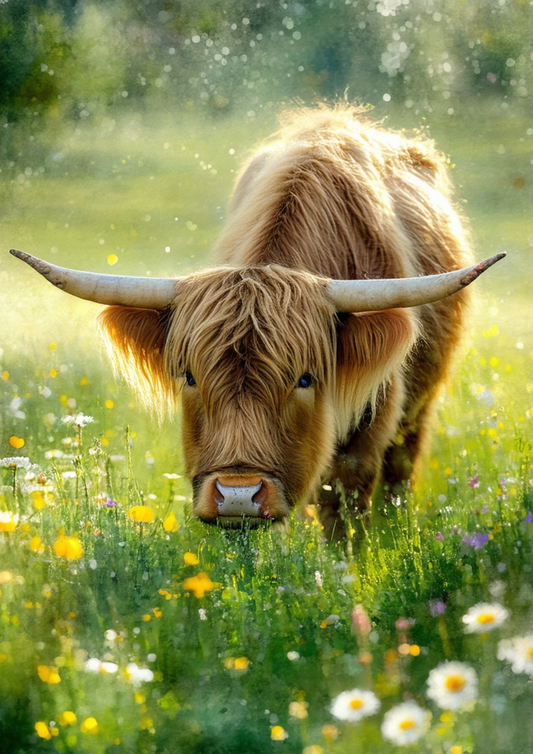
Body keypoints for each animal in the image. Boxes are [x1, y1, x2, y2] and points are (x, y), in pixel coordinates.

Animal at [11, 105, 504, 535]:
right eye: (190, 377)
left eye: (305, 379)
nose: (238, 496)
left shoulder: (369, 429)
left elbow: (344, 511)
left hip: (419, 410)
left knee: (400, 475)